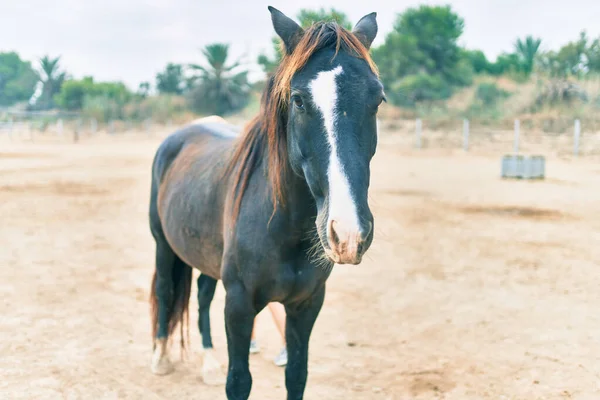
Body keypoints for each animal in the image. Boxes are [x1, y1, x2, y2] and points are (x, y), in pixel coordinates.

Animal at [150, 7, 384, 400]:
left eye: (377, 99)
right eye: (299, 99)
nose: (348, 233)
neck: (283, 228)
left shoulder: (306, 305)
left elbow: (296, 375)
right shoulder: (239, 306)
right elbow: (239, 381)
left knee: (201, 297)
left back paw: (208, 363)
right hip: (164, 246)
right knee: (168, 290)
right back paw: (160, 358)